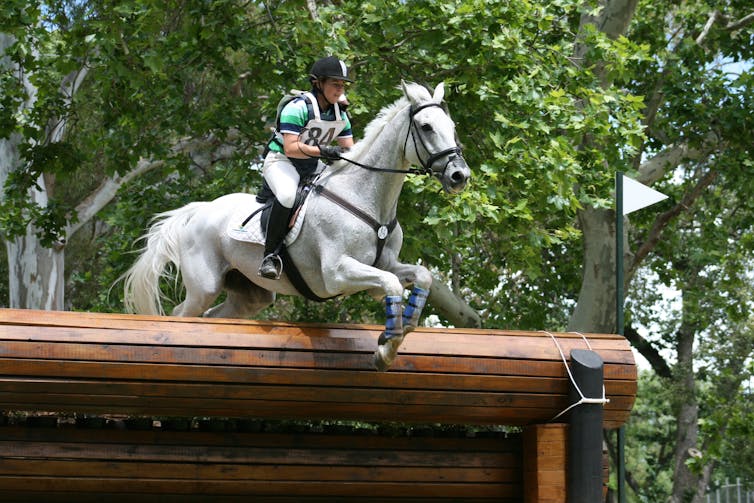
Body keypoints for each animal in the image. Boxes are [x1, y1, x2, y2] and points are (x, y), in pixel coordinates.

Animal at [122, 81, 470, 371]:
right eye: (426, 127)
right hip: (204, 286)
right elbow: (392, 284)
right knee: (182, 316)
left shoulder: (387, 264)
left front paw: (405, 325)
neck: (367, 198)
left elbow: (418, 276)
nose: (459, 175)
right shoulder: (336, 273)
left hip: (250, 295)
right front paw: (386, 348)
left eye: (452, 127)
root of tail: (199, 210)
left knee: (215, 317)